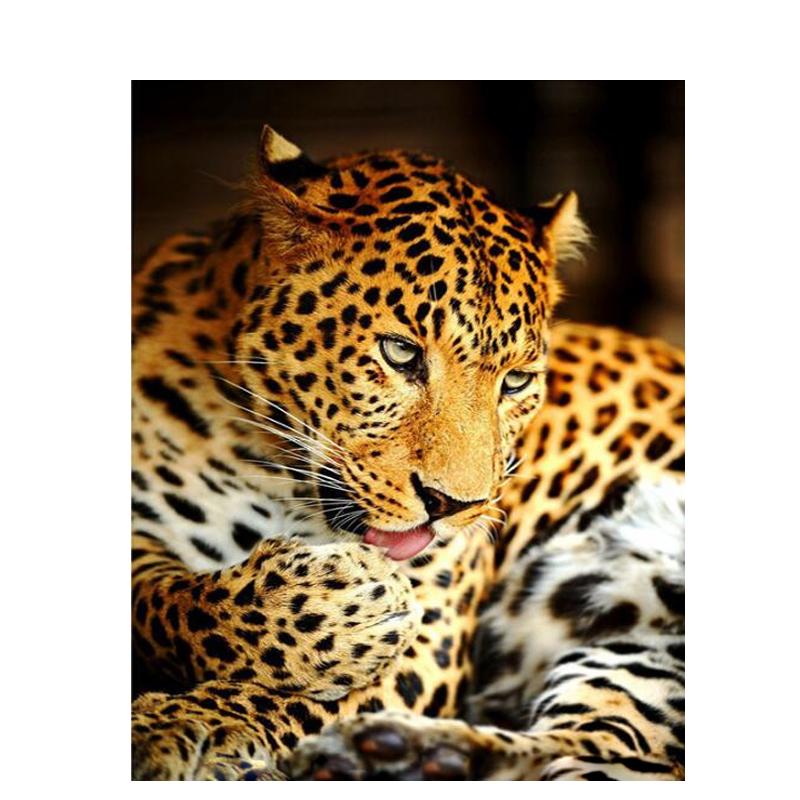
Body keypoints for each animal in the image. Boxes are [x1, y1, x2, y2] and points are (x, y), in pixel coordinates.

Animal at [131, 124, 685, 780]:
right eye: (400, 353)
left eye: (516, 382)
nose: (454, 506)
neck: (266, 467)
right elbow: (164, 602)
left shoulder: (432, 633)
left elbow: (281, 698)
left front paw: (190, 725)